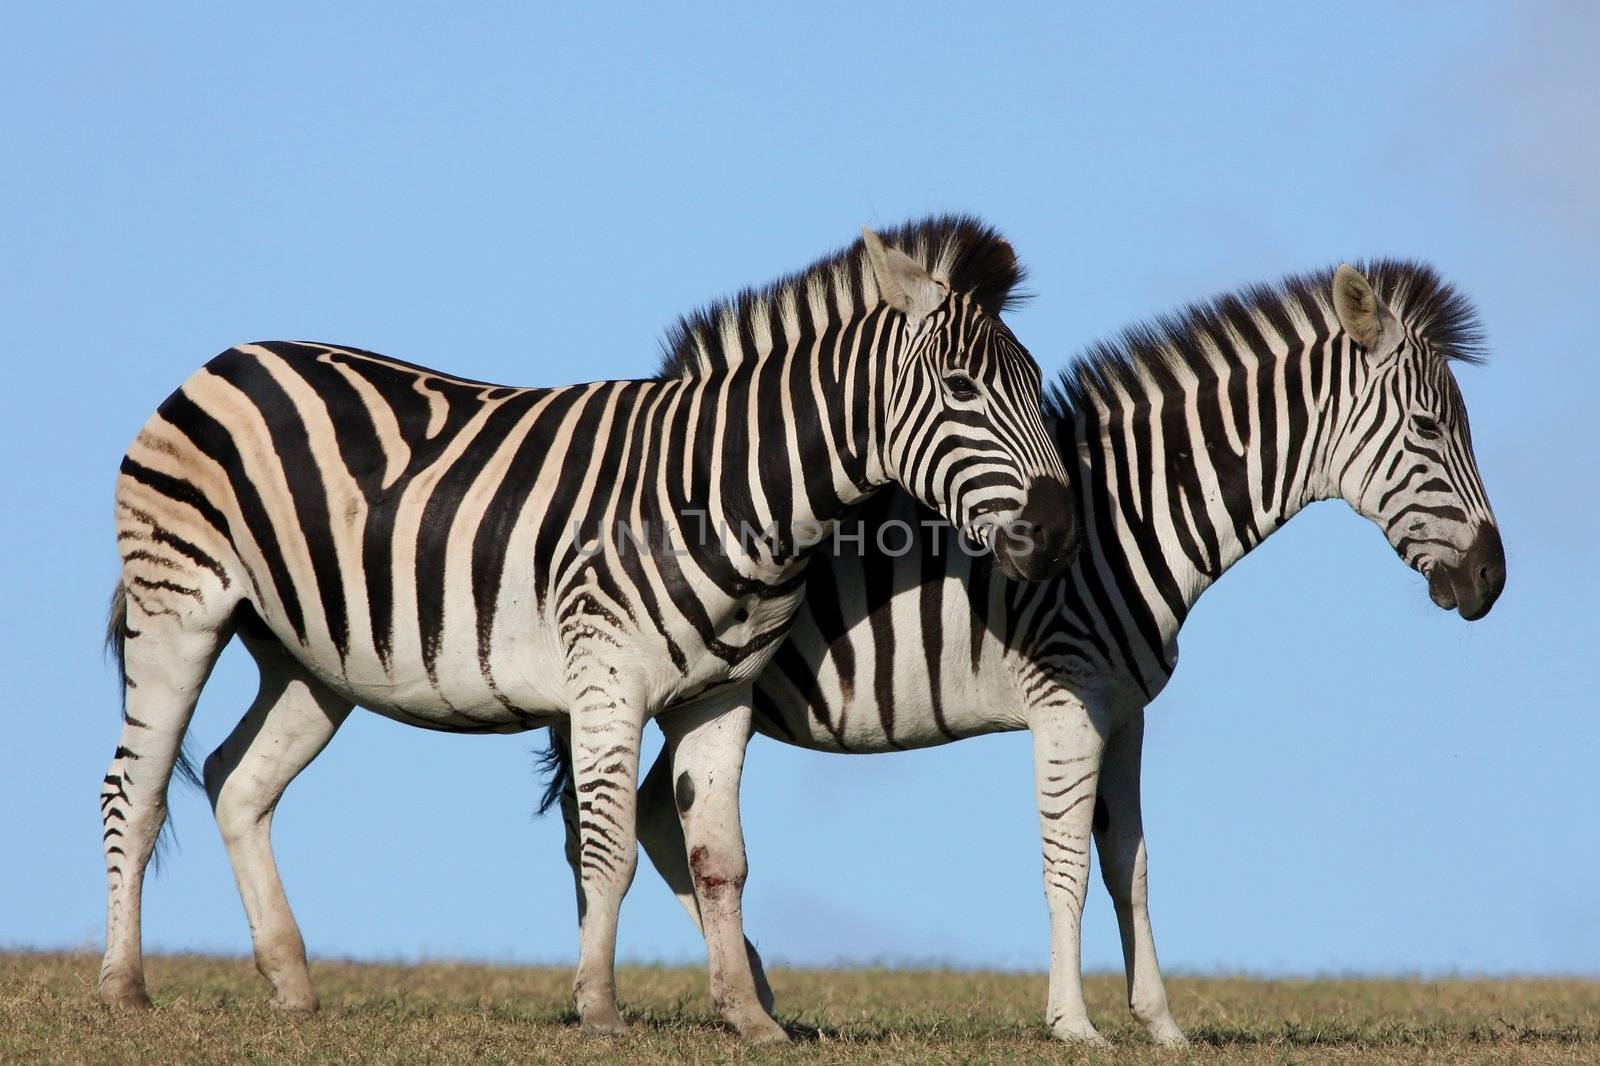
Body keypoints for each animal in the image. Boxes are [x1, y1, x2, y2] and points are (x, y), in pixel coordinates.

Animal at [100, 216, 1075, 1037]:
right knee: (135, 787)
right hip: (178, 604)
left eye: (1035, 389)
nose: (1058, 530)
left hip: (312, 657)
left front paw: (750, 1021)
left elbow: (721, 858)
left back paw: (293, 985)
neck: (729, 497)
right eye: (962, 388)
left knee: (237, 781)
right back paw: (125, 988)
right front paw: (600, 1011)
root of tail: (230, 356)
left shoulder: (721, 700)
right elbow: (608, 850)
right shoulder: (608, 680)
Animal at [582, 256, 1504, 1037]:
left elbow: (1131, 864)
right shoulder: (1068, 702)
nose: (1492, 579)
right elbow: (1067, 865)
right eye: (1430, 427)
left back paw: (755, 991)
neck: (1130, 518)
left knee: (659, 814)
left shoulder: (1125, 713)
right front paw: (1074, 1023)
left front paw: (1160, 1025)